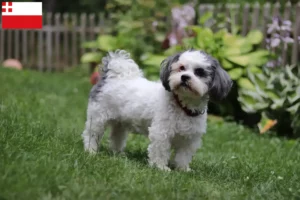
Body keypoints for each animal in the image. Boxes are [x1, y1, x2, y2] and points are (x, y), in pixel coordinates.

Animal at [81, 49, 232, 171]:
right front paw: (160, 168)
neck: (183, 106)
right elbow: (160, 151)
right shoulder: (161, 132)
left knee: (116, 137)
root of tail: (113, 76)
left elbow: (183, 155)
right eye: (181, 68)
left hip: (120, 123)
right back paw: (91, 151)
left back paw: (118, 153)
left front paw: (183, 169)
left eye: (199, 72)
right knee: (91, 134)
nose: (184, 77)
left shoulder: (190, 139)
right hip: (98, 117)